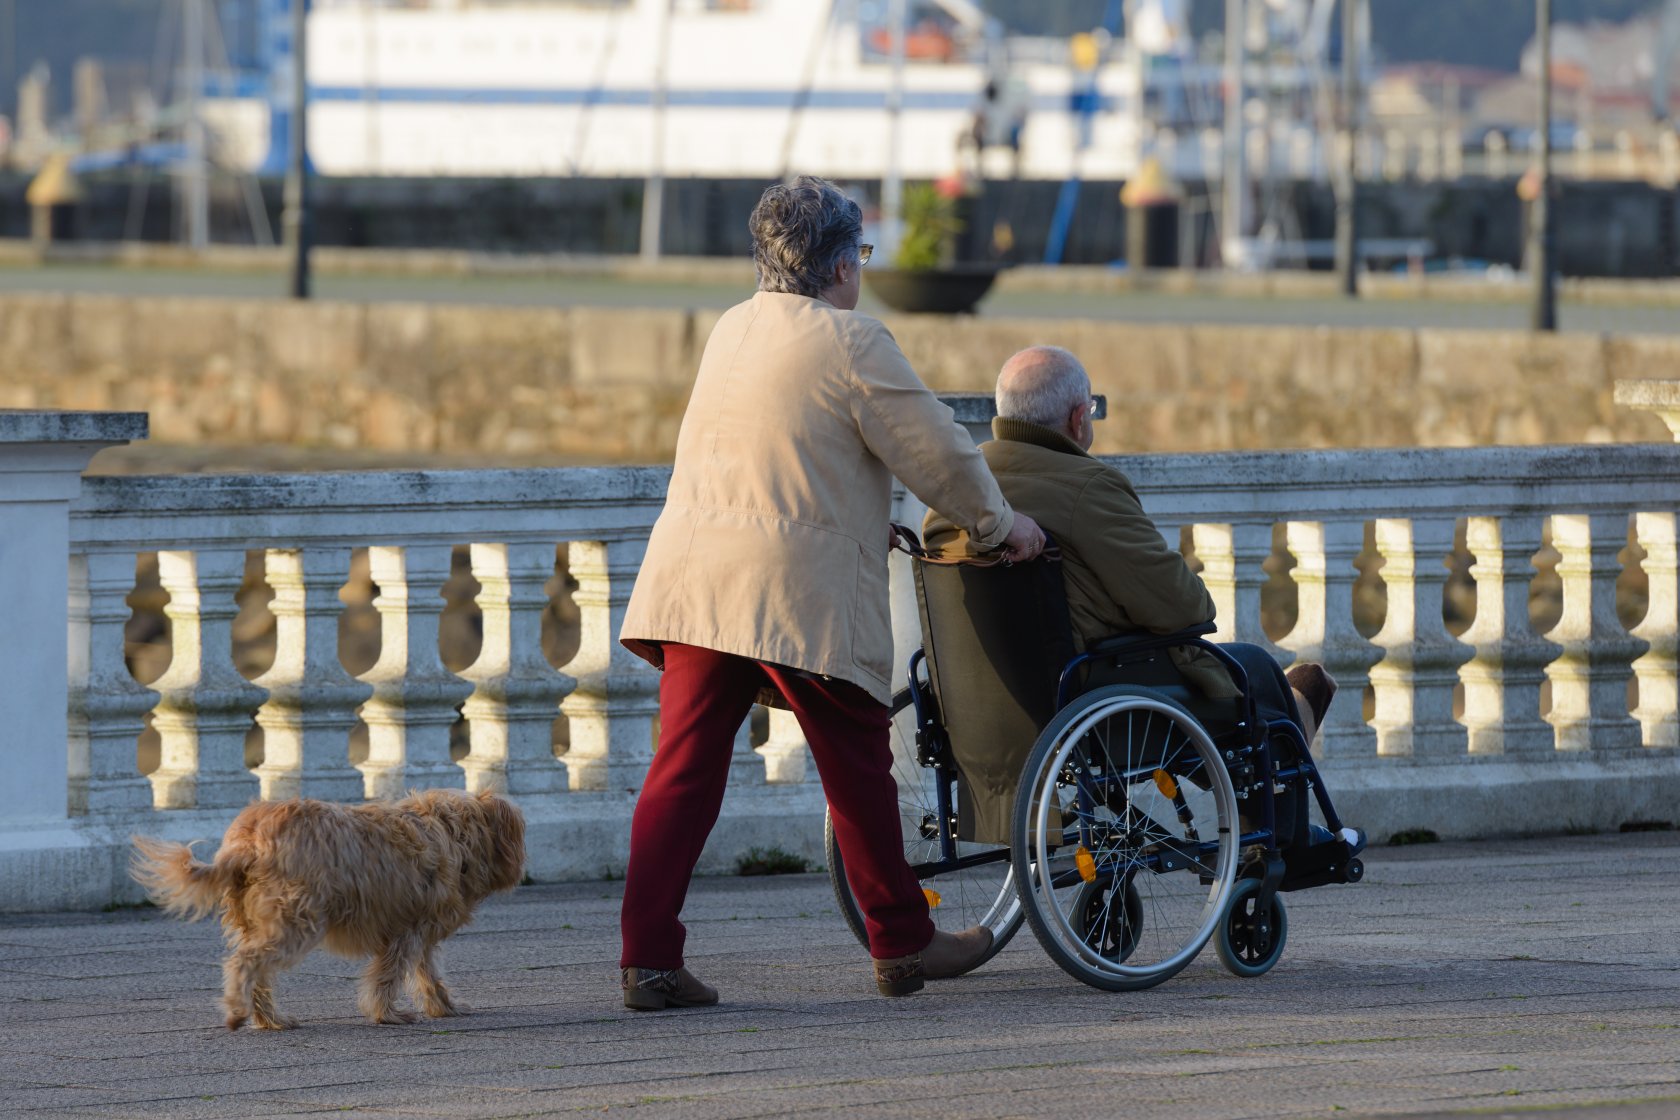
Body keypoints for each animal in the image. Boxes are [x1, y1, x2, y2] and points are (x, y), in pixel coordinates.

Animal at [131, 789, 520, 1034]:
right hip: (295, 921)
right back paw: (237, 1012)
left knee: (259, 973)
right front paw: (387, 1015)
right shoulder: (404, 932)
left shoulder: (418, 934)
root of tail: (248, 840)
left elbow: (428, 975)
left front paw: (443, 1006)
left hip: (255, 921)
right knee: (245, 963)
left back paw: (271, 1019)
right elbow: (387, 976)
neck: (451, 832)